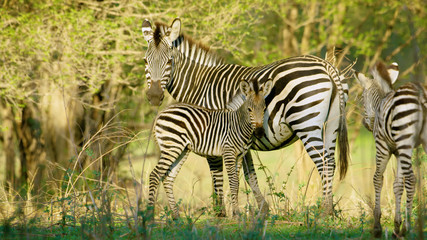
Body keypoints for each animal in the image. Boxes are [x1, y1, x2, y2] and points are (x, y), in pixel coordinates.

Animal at [149, 79, 272, 219]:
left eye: (264, 109)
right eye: (249, 109)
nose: (260, 132)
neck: (239, 125)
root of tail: (162, 113)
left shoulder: (240, 156)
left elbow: (236, 184)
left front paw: (235, 214)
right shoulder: (228, 152)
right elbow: (233, 182)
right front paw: (236, 214)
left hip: (181, 150)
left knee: (168, 178)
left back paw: (176, 217)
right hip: (172, 147)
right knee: (155, 175)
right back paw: (149, 217)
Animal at [354, 62, 427, 238]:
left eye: (362, 99)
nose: (366, 124)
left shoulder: (382, 146)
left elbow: (377, 178)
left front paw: (377, 226)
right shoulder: (399, 152)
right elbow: (397, 185)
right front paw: (396, 226)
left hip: (405, 140)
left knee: (411, 179)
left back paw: (408, 227)